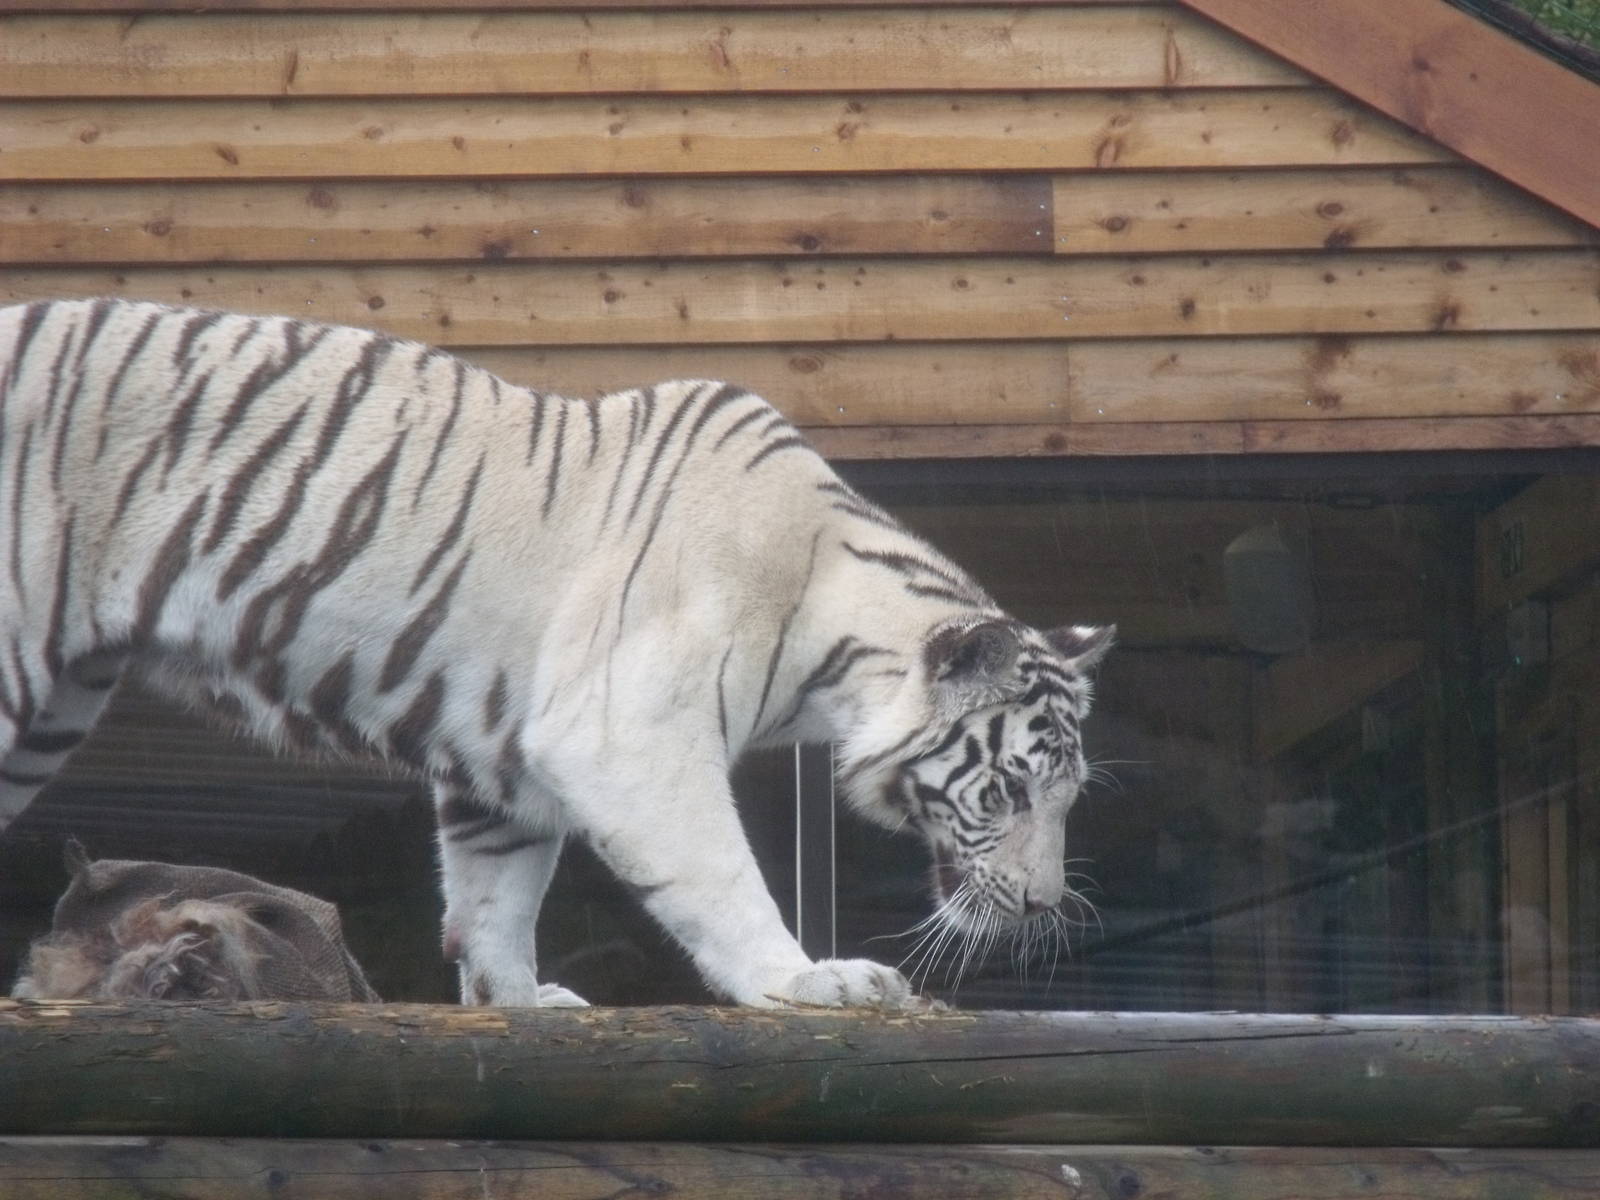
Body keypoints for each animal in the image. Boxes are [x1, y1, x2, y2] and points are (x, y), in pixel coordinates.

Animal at [0, 297, 1113, 1009]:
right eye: (1008, 790)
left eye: (1065, 797)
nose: (1043, 905)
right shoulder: (629, 738)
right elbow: (722, 880)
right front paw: (806, 980)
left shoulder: (501, 762)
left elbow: (494, 899)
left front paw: (519, 1004)